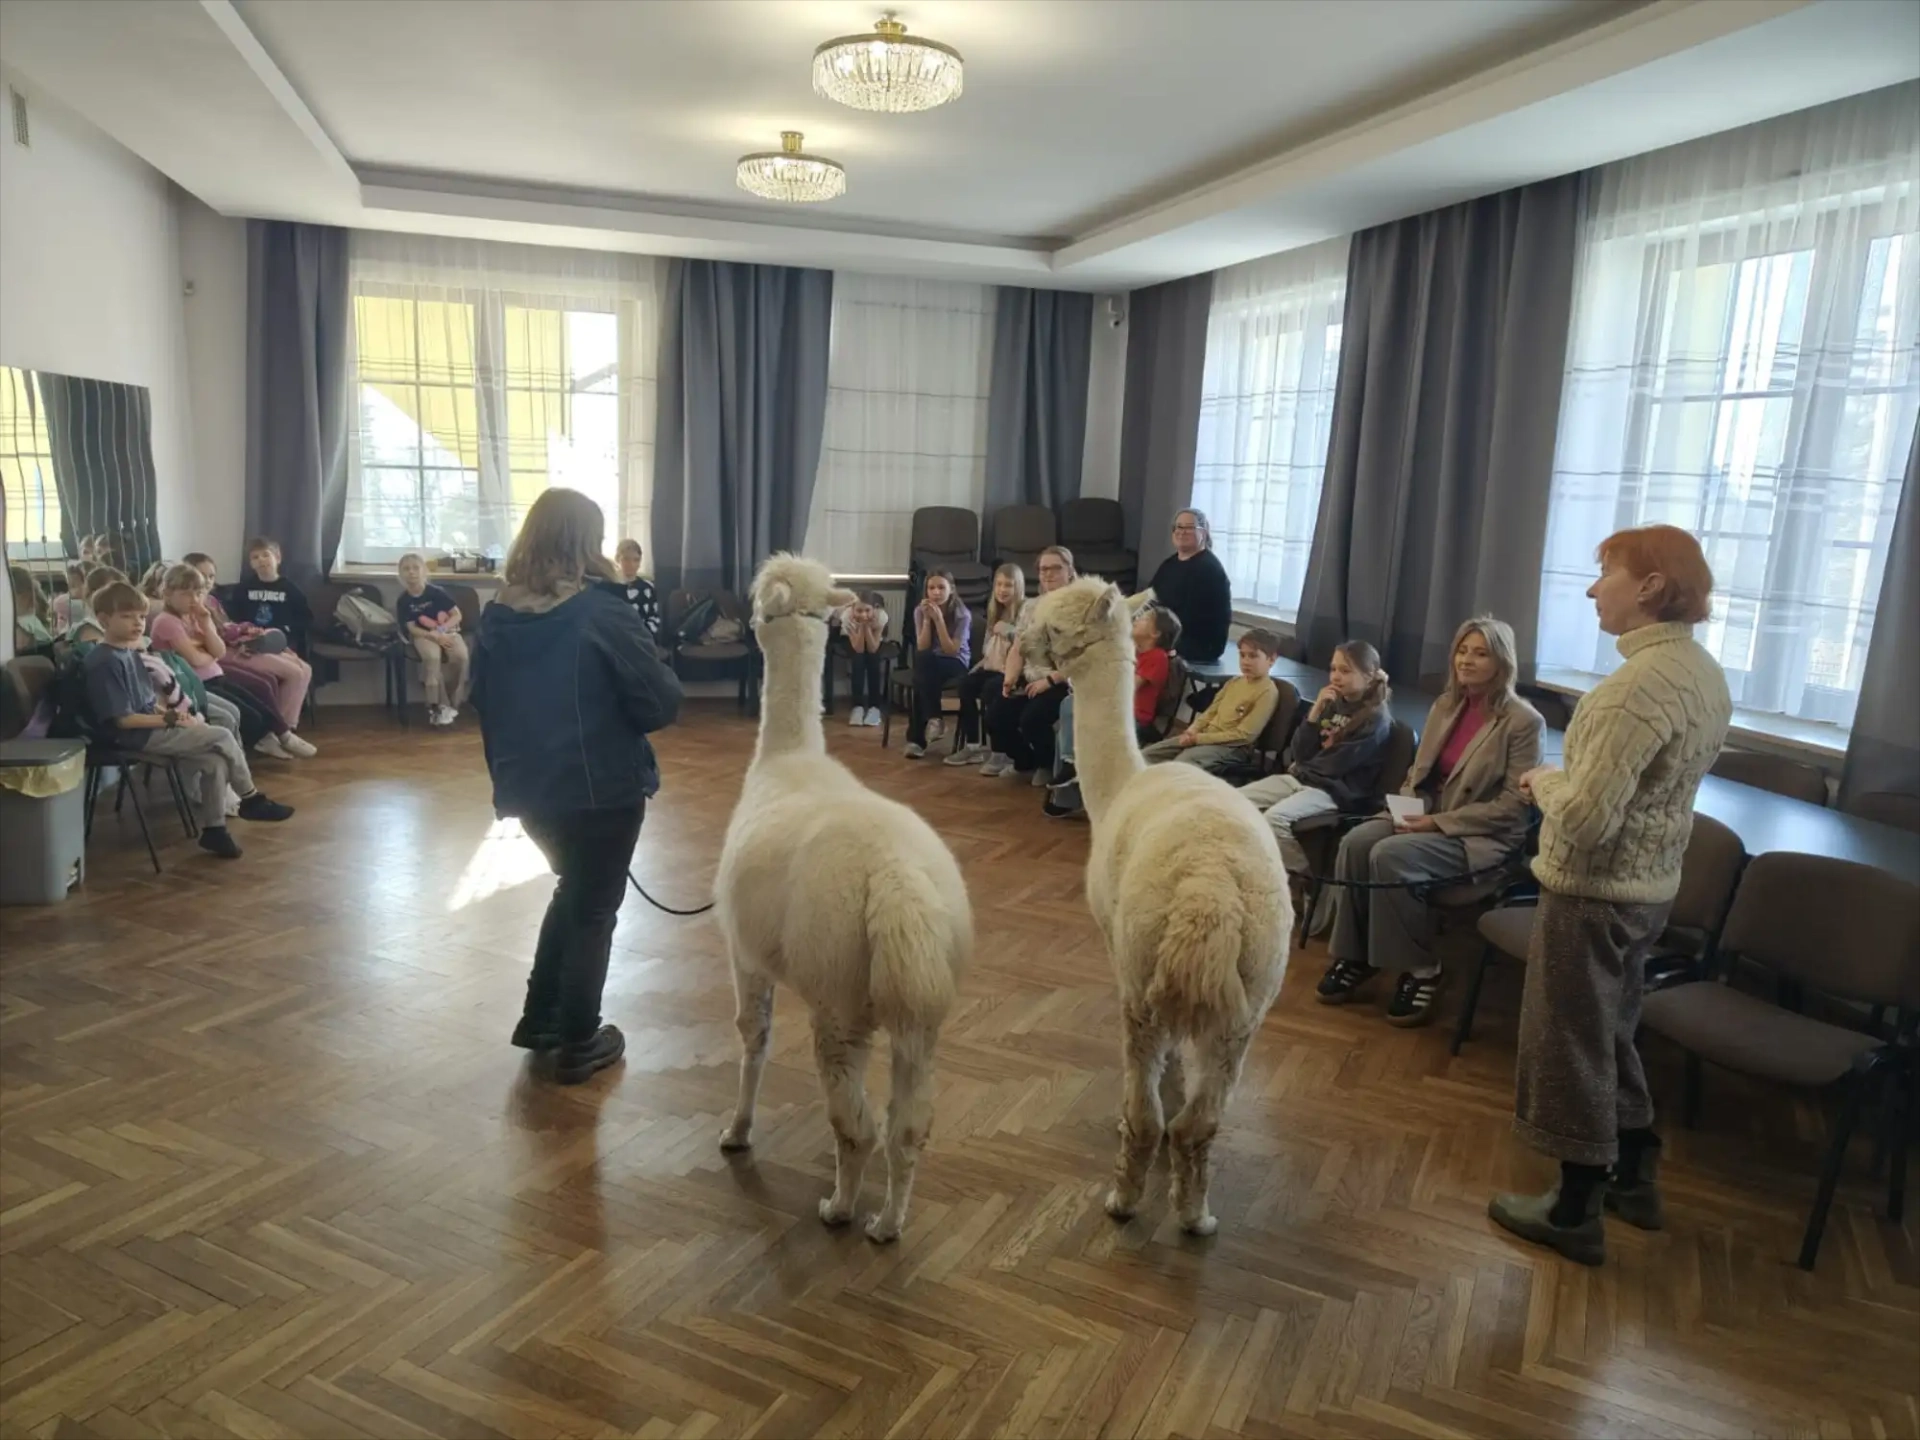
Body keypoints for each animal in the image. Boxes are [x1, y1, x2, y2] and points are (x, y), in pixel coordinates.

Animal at [715, 554, 972, 1243]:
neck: (786, 762)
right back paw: (887, 1223)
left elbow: (753, 1037)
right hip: (923, 1010)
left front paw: (737, 1131)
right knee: (909, 1126)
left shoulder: (744, 952)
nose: (749, 621)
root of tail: (898, 886)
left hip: (838, 996)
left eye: (763, 601)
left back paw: (840, 1208)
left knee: (857, 1126)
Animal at [1025, 578, 1292, 1234]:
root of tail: (1210, 896)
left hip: (1143, 971)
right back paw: (1196, 1216)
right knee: (1201, 1124)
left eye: (1056, 627)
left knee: (1144, 1113)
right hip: (1252, 992)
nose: (1022, 644)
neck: (1121, 785)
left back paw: (1122, 1200)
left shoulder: (1116, 943)